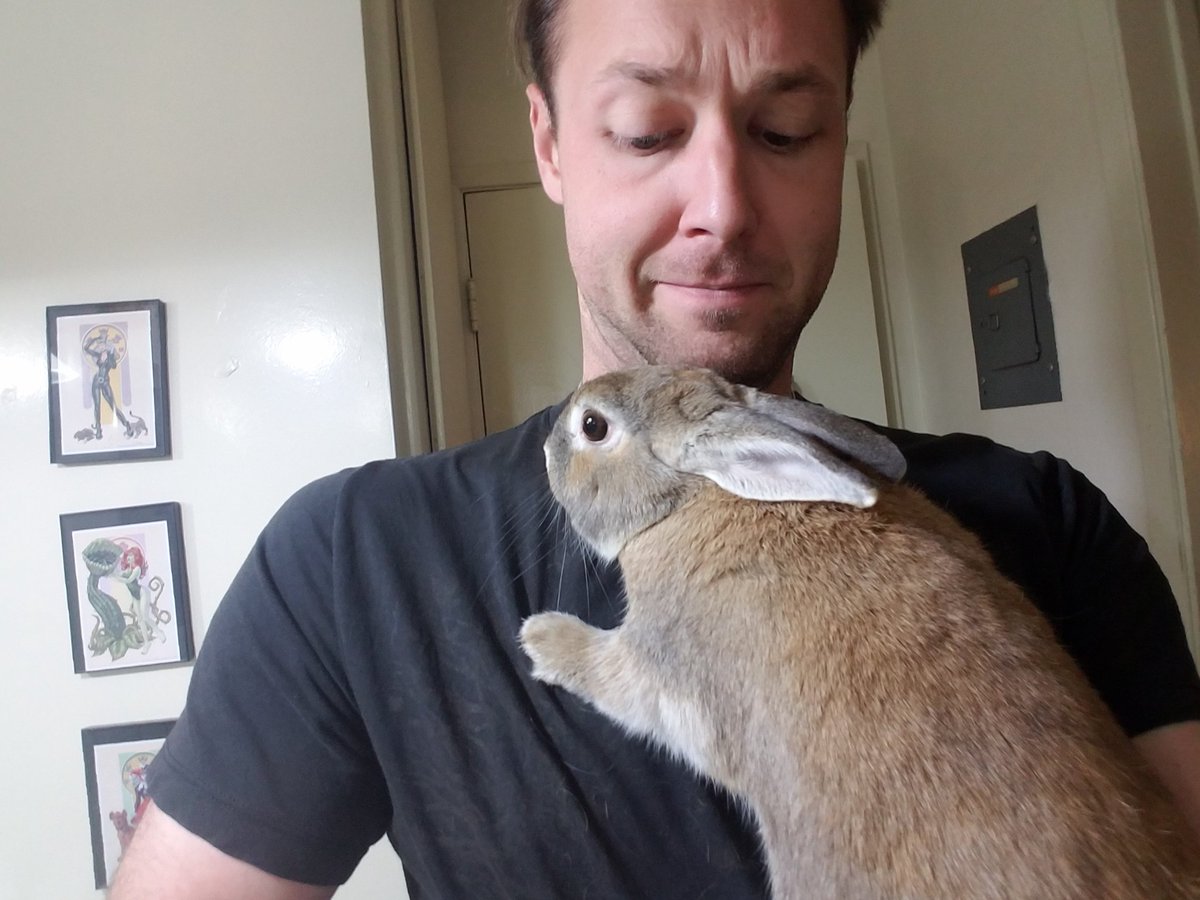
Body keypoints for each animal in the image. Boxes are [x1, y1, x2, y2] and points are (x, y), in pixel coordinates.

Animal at [519, 365, 1200, 900]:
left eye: (593, 426)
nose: (546, 447)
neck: (694, 497)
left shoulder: (668, 667)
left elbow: (616, 677)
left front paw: (541, 637)